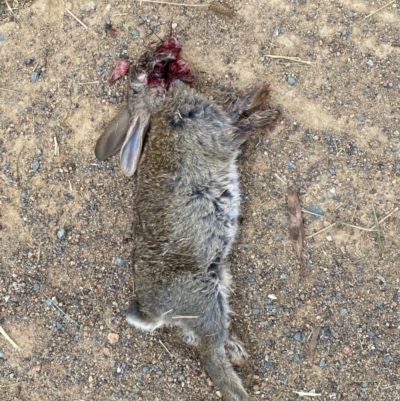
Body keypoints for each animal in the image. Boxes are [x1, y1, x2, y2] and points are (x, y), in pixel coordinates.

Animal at [95, 39, 280, 400]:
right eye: (141, 78)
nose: (155, 56)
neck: (168, 105)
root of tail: (153, 314)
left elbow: (235, 109)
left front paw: (258, 93)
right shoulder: (223, 136)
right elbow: (240, 126)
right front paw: (268, 113)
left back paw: (237, 349)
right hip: (204, 296)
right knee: (211, 355)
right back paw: (239, 379)